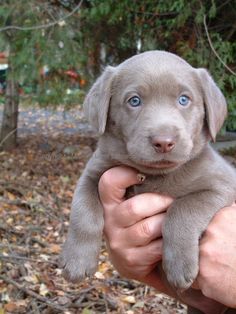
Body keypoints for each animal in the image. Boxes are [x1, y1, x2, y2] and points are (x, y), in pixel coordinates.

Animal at [60, 50, 236, 300]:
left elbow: (182, 208)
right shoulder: (93, 174)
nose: (164, 142)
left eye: (184, 99)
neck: (155, 175)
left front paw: (179, 266)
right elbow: (83, 211)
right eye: (134, 101)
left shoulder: (223, 184)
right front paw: (77, 261)